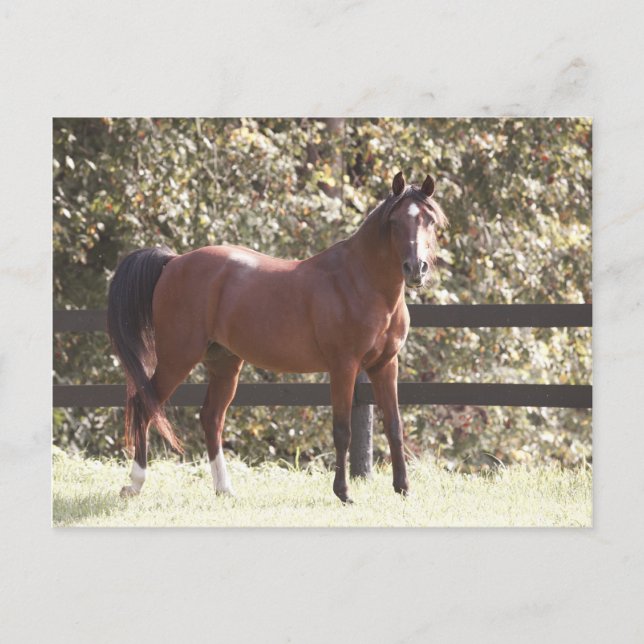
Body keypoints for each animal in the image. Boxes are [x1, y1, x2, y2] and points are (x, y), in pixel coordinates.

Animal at [107, 171, 447, 503]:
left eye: (429, 220)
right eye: (395, 221)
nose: (416, 268)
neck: (360, 281)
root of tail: (174, 262)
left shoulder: (385, 365)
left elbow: (394, 426)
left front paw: (403, 488)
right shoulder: (344, 367)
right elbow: (342, 430)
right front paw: (343, 492)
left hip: (224, 365)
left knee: (211, 418)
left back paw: (224, 488)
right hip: (177, 359)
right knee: (144, 405)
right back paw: (135, 484)